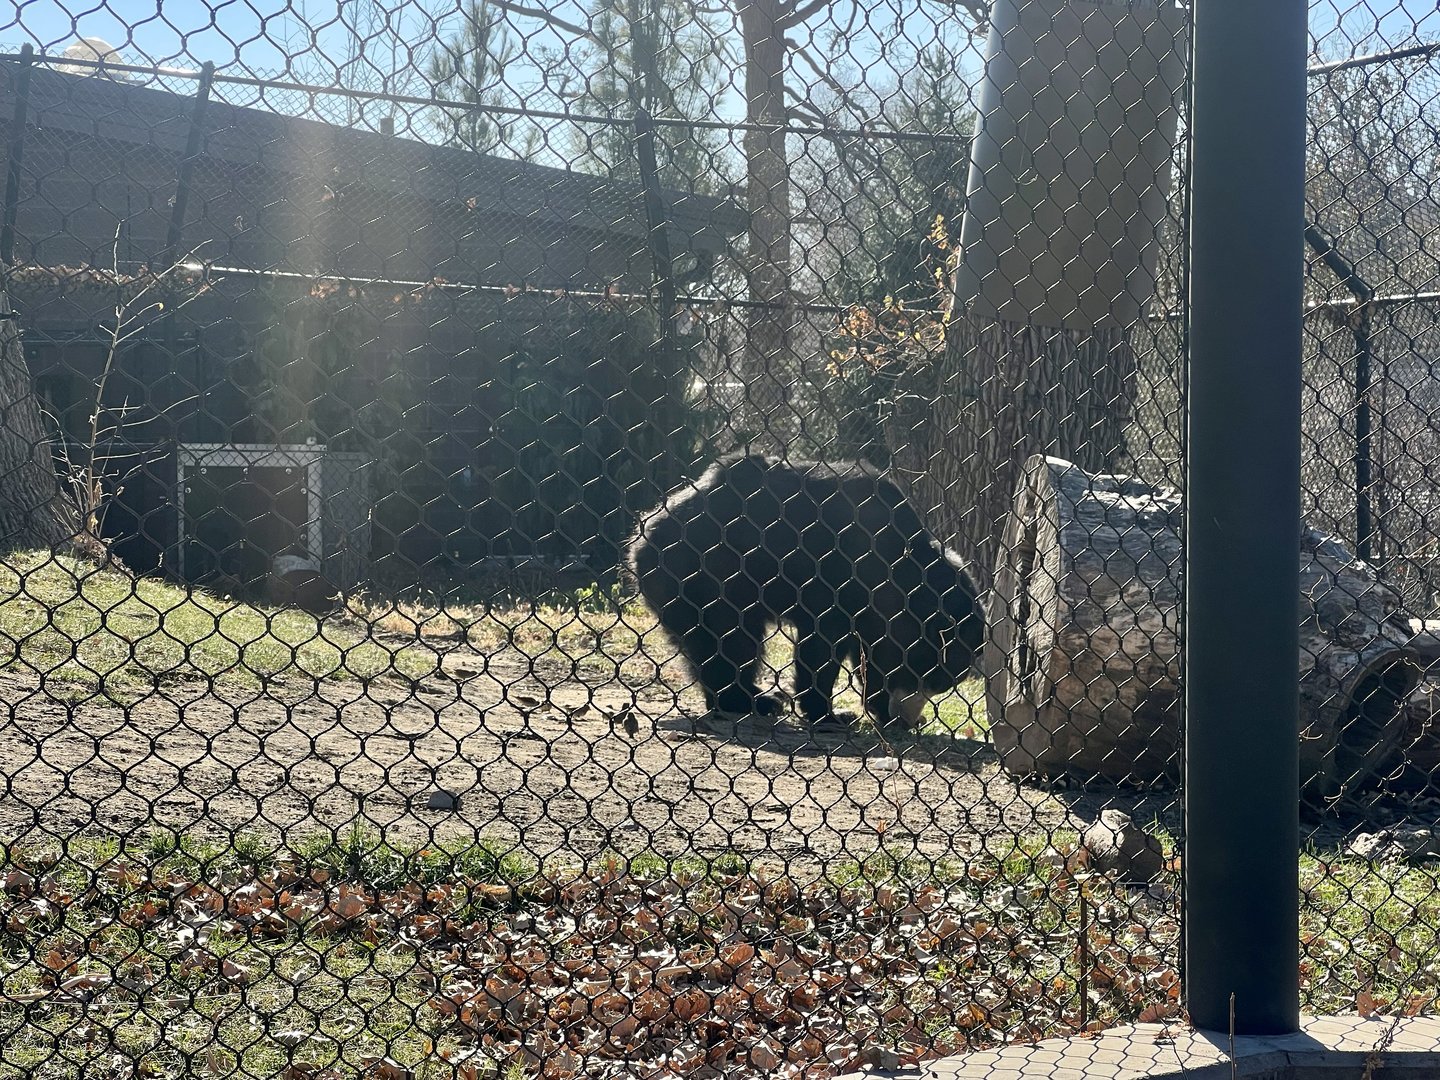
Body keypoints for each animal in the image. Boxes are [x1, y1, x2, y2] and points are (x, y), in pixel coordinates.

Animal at [627, 453, 984, 730]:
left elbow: (866, 654)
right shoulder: (838, 570)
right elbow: (823, 645)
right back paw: (750, 700)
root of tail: (644, 537)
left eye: (939, 685)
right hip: (707, 573)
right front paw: (831, 713)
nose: (909, 719)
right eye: (928, 676)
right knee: (732, 639)